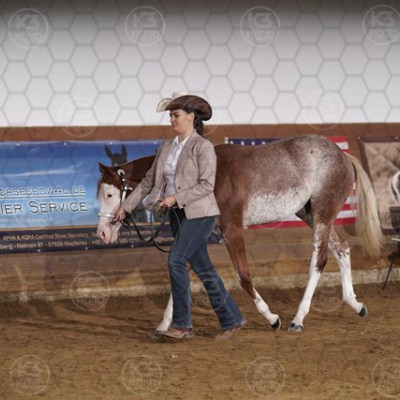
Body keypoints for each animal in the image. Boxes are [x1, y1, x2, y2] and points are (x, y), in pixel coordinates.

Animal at [97, 135, 384, 332]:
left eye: (109, 194)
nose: (102, 233)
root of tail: (342, 155)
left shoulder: (232, 230)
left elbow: (243, 275)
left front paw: (272, 318)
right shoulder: (199, 234)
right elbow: (181, 272)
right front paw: (165, 325)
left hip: (323, 214)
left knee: (319, 261)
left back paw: (298, 319)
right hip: (311, 214)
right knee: (342, 248)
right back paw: (356, 304)